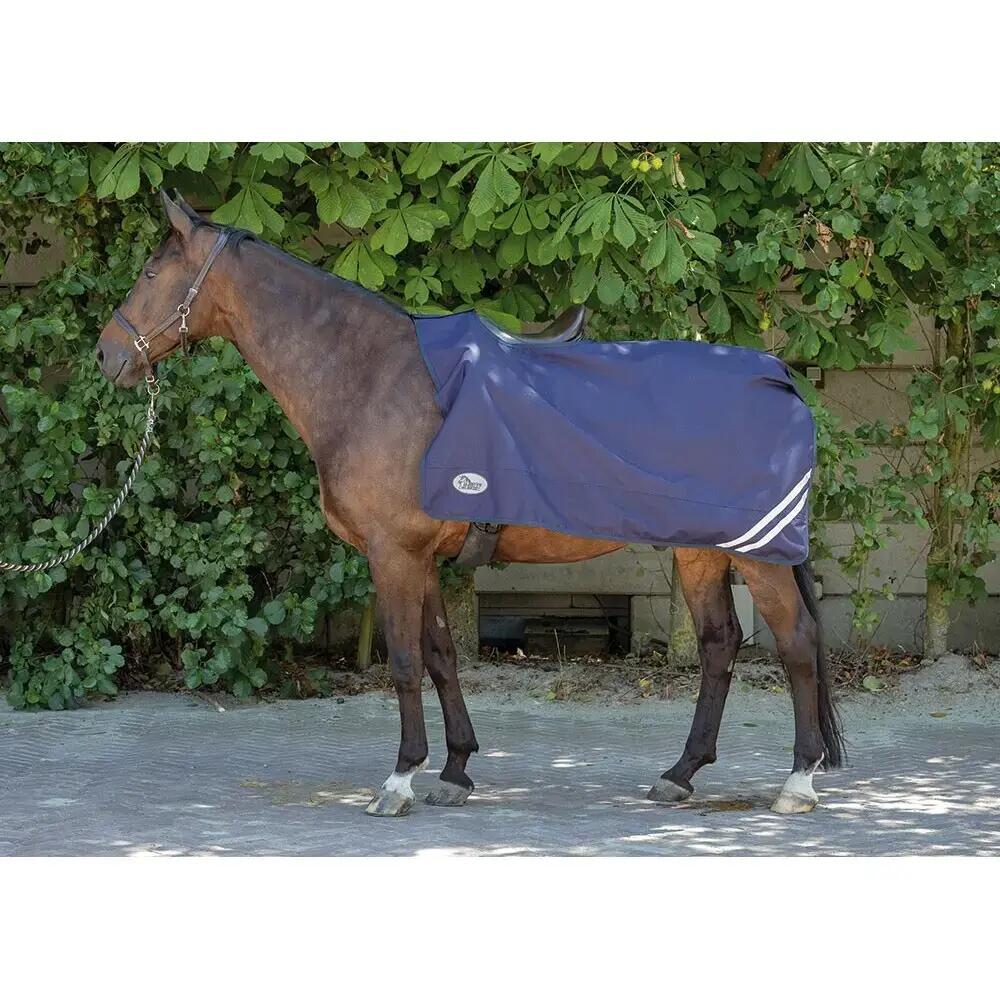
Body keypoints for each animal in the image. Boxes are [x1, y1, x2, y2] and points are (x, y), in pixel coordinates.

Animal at [95, 190, 844, 818]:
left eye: (153, 273)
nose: (106, 356)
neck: (371, 379)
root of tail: (781, 380)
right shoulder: (421, 556)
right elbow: (440, 655)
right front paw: (455, 770)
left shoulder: (393, 554)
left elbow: (402, 661)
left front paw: (400, 779)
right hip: (701, 552)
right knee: (719, 646)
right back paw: (681, 773)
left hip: (758, 557)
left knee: (798, 643)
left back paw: (798, 780)